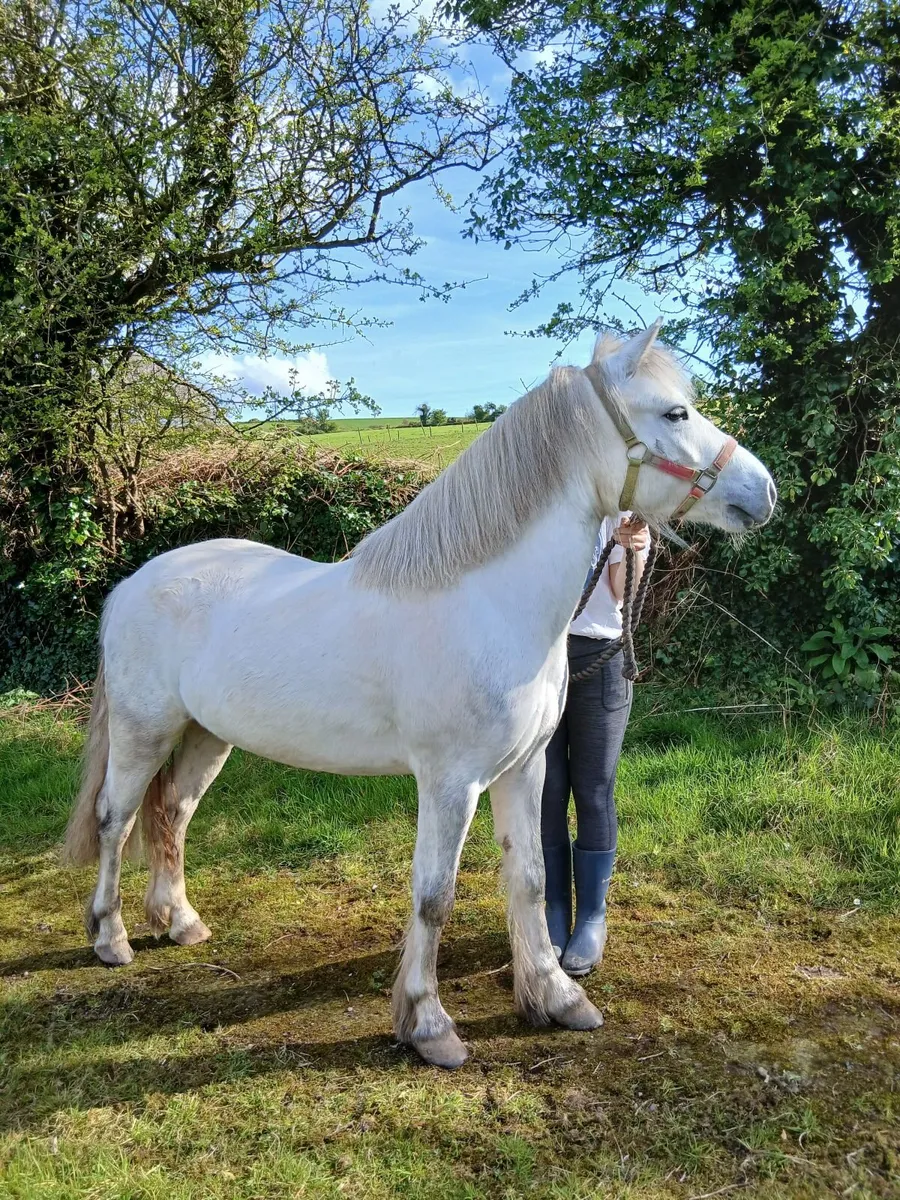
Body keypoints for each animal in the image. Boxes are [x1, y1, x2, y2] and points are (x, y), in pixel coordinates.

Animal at [63, 322, 776, 1068]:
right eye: (676, 413)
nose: (765, 491)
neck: (488, 602)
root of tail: (131, 583)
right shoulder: (450, 783)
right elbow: (435, 897)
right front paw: (428, 1025)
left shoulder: (524, 769)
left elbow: (531, 878)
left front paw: (555, 997)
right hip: (144, 730)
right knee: (117, 819)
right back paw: (110, 937)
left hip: (207, 735)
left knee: (171, 815)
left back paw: (181, 923)